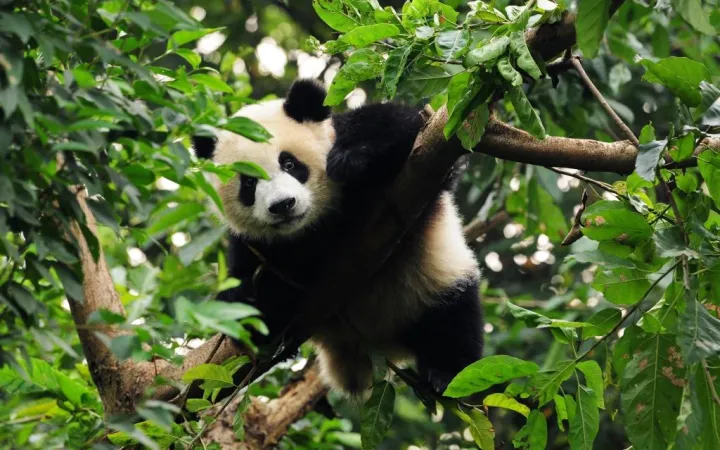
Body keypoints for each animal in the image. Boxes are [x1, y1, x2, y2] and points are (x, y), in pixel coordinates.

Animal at [193, 79, 484, 395]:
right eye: (248, 183)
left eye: (289, 164)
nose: (282, 205)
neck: (316, 226)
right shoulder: (259, 247)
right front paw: (242, 297)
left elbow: (405, 127)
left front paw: (350, 157)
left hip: (430, 282)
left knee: (452, 321)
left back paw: (445, 373)